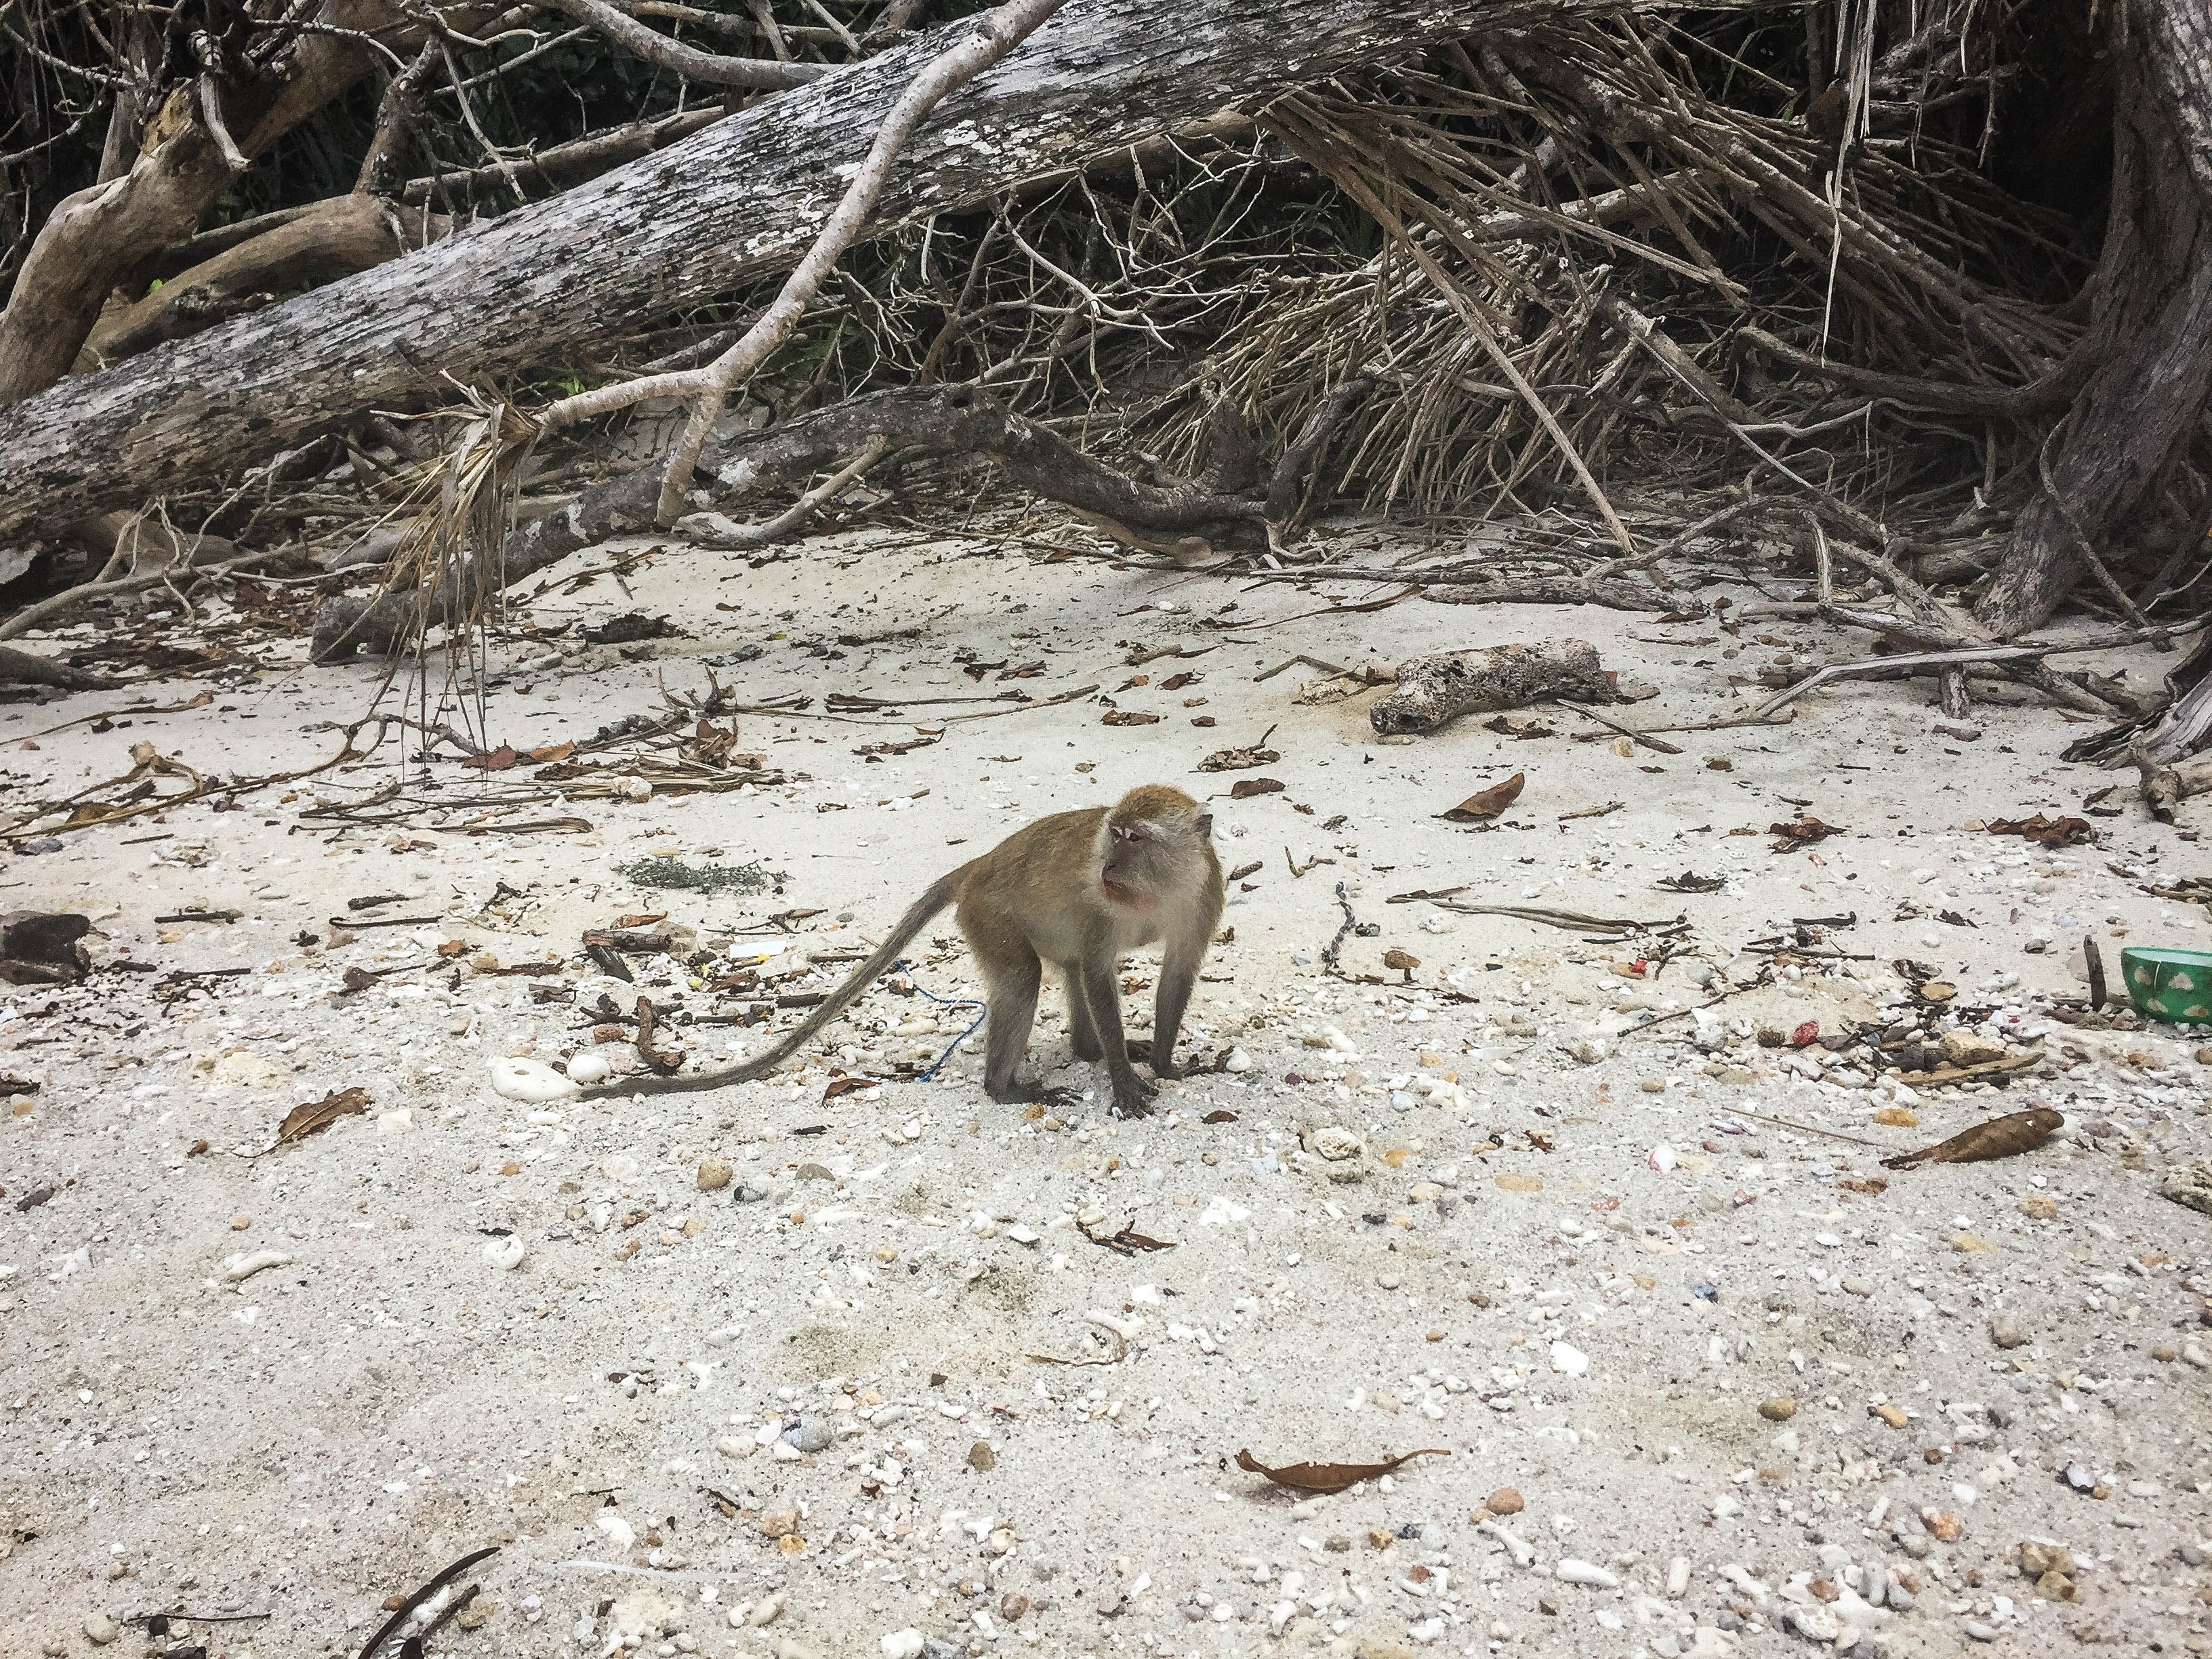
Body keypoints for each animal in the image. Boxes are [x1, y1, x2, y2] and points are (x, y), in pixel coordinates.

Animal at [583, 787, 1229, 1124]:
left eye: (1136, 838)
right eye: (1113, 835)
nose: (1108, 866)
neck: (1155, 894)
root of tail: (981, 864)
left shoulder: (1205, 894)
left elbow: (1176, 974)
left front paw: (1163, 1063)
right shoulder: (1102, 909)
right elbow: (1098, 973)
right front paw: (1124, 1081)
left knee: (1060, 968)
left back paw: (1086, 1052)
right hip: (987, 914)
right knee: (1023, 976)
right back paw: (1007, 1088)